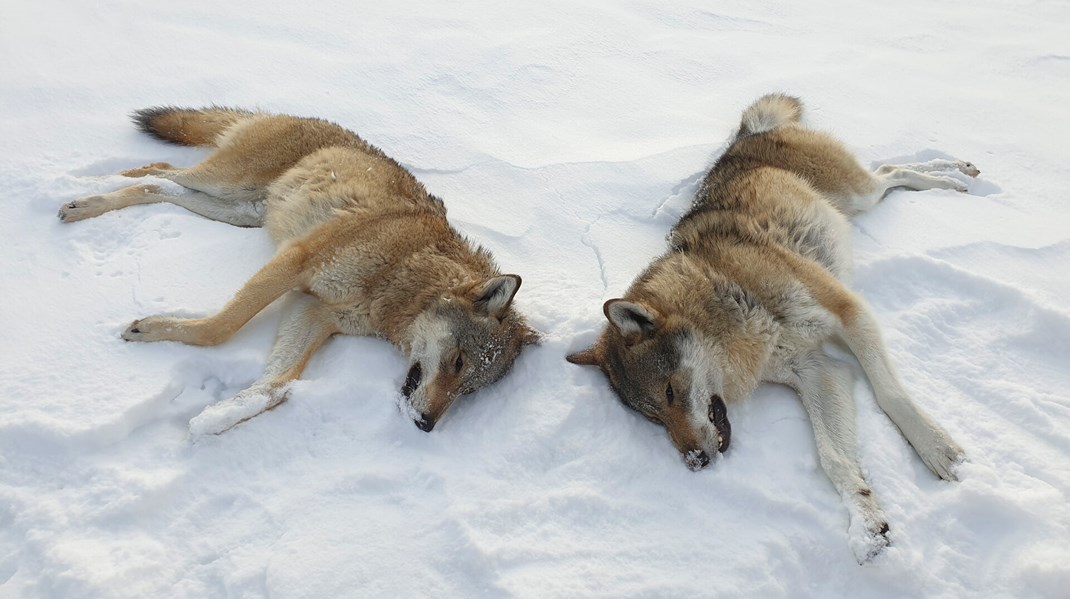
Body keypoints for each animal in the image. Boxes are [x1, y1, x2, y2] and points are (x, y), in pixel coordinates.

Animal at [60, 106, 535, 434]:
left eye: (468, 389)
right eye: (456, 361)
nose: (426, 425)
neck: (402, 275)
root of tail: (279, 113)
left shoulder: (313, 311)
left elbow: (278, 384)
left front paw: (217, 419)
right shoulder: (296, 262)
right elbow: (222, 328)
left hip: (236, 209)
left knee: (157, 185)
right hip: (225, 183)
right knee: (155, 169)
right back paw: (76, 190)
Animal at [573, 93, 975, 560]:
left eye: (671, 392)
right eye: (654, 418)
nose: (694, 462)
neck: (738, 313)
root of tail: (746, 133)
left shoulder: (849, 312)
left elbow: (892, 397)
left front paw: (939, 452)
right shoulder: (818, 371)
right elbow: (834, 459)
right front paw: (866, 524)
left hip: (859, 195)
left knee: (893, 172)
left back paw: (956, 177)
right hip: (857, 201)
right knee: (891, 172)